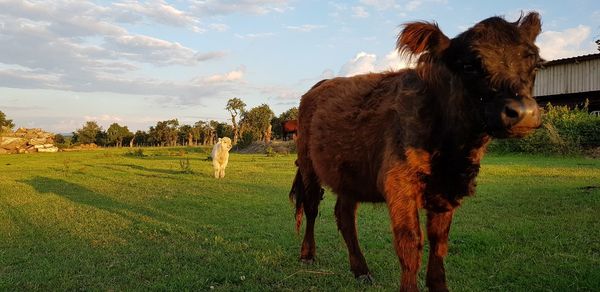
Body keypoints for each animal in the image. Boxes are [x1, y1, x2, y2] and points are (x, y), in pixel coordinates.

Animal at [290, 12, 544, 290]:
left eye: (536, 64)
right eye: (469, 66)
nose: (523, 112)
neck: (450, 154)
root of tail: (320, 85)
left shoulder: (447, 190)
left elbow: (439, 243)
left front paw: (439, 285)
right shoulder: (399, 185)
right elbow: (410, 245)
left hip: (350, 173)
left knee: (345, 216)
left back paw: (361, 270)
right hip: (308, 165)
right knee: (312, 206)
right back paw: (307, 254)